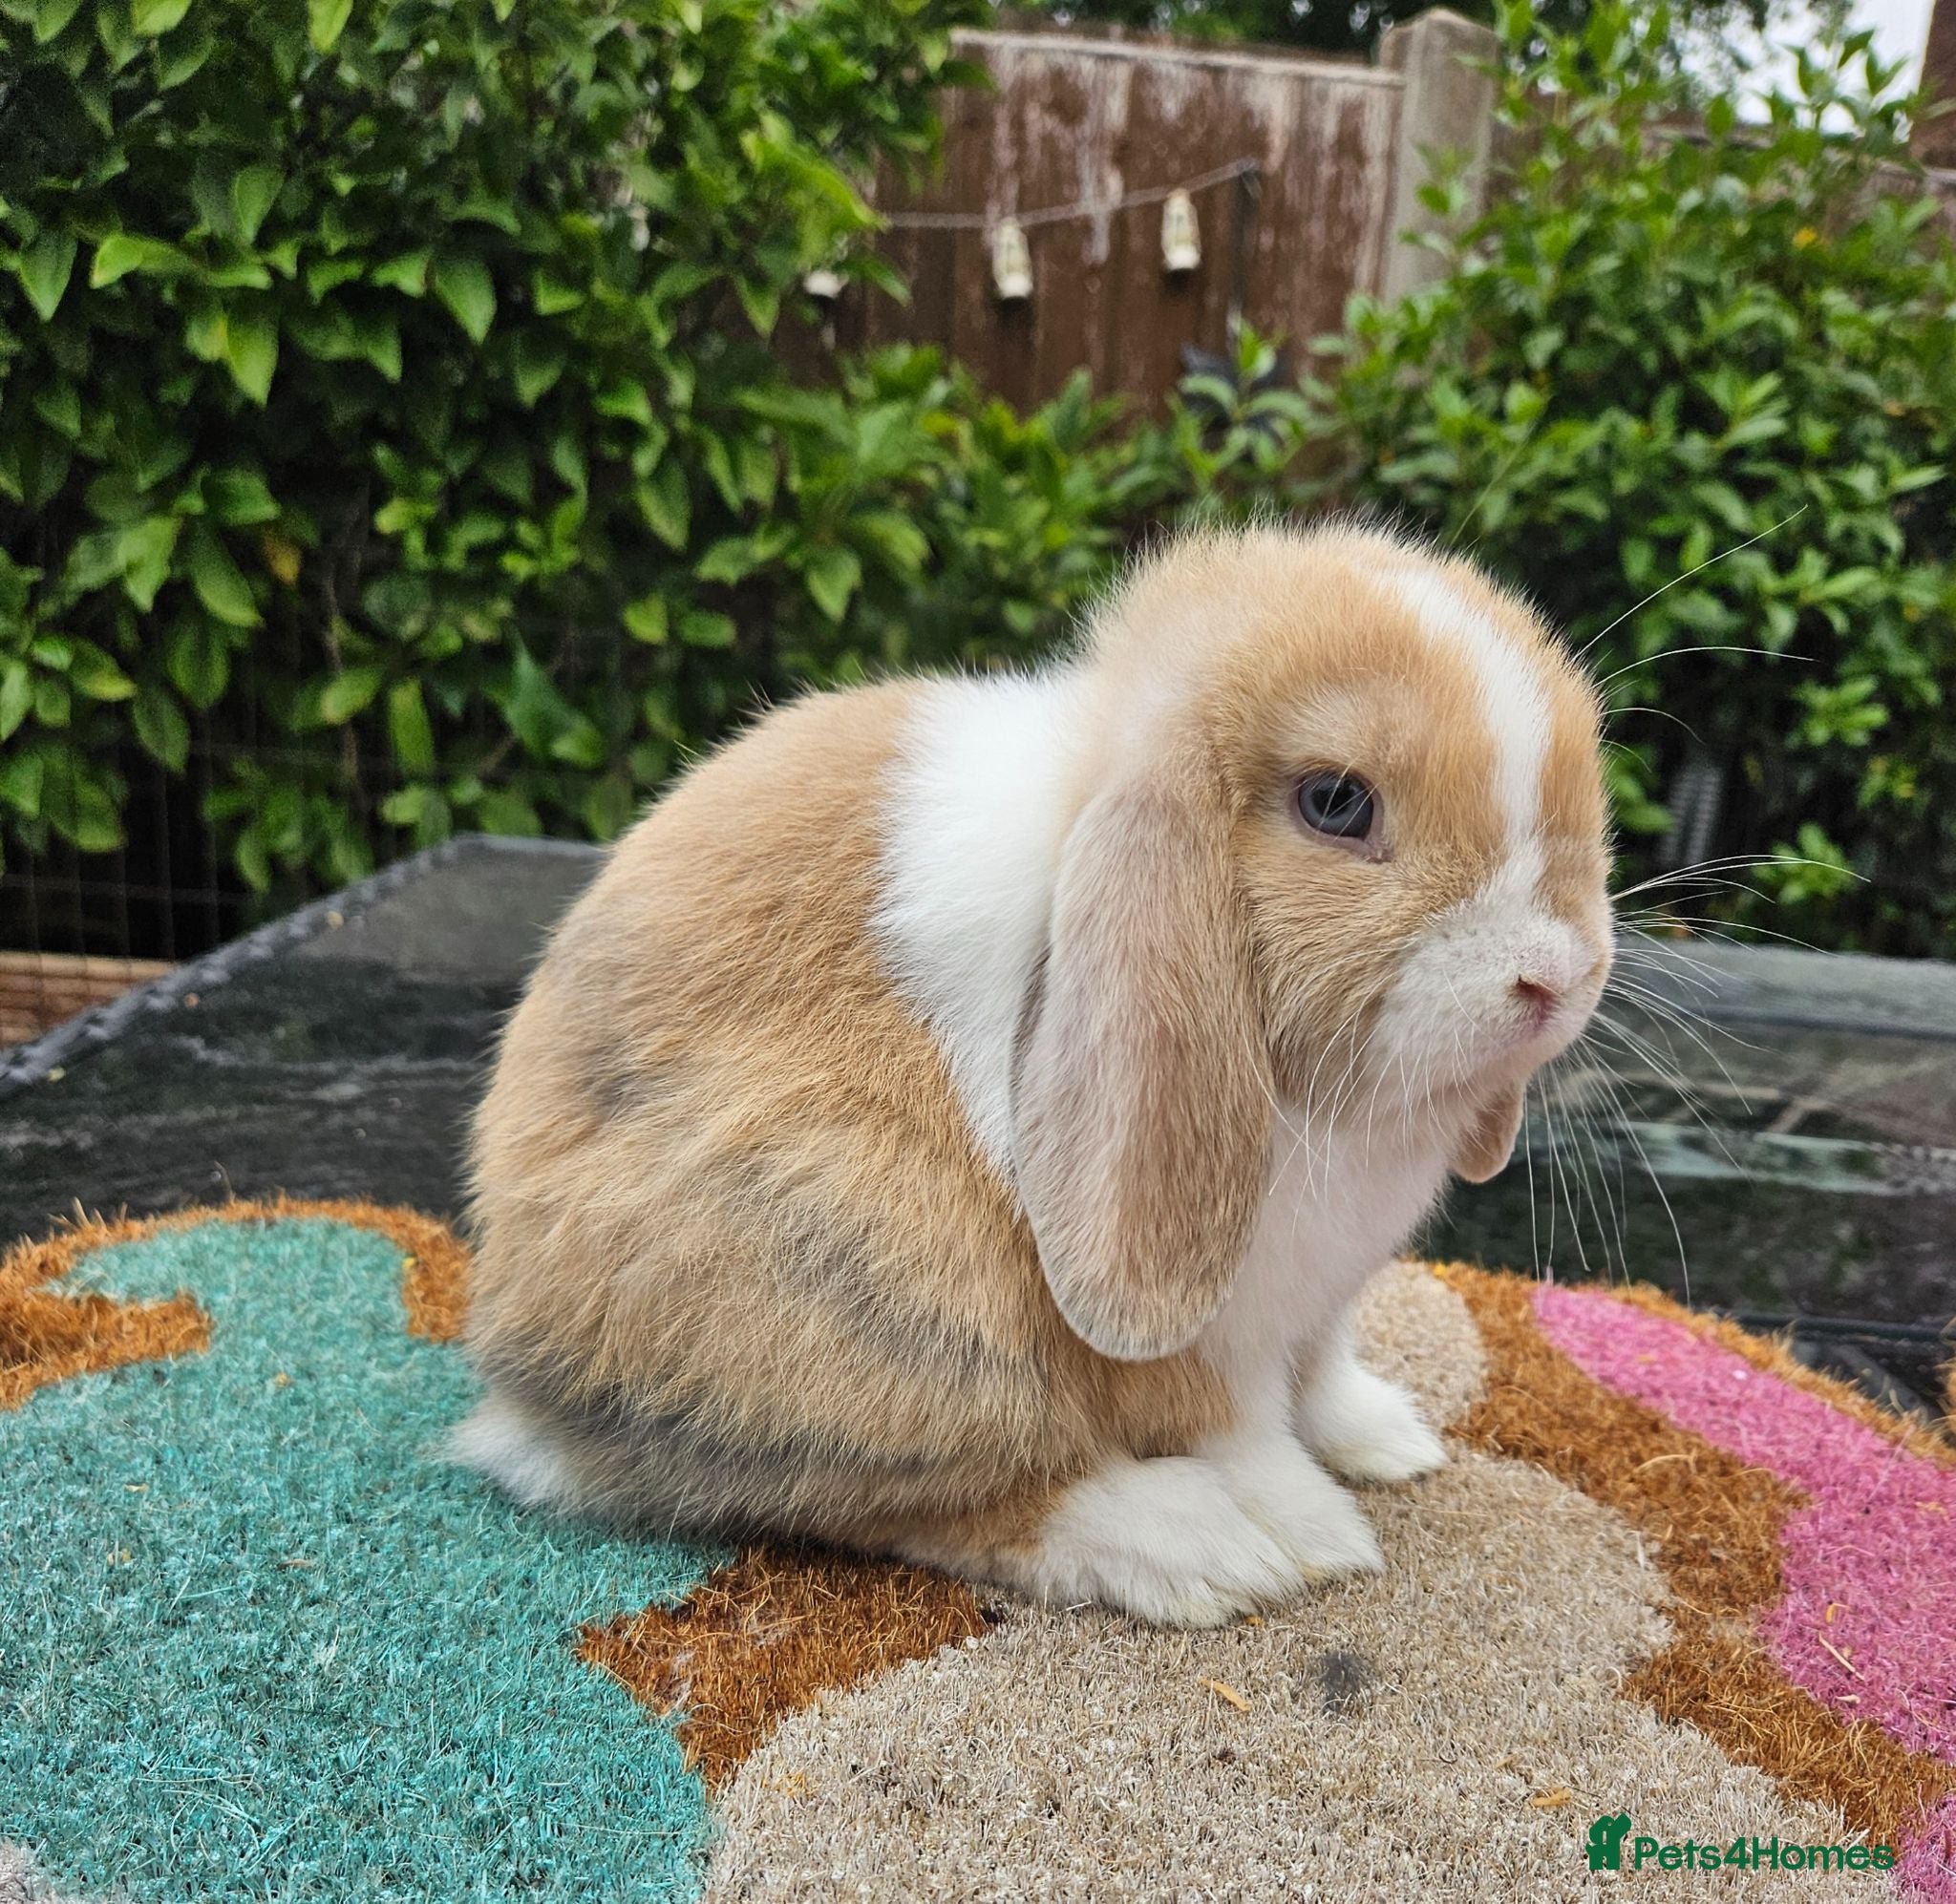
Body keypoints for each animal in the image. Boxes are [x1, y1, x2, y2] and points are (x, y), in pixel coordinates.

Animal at [454, 520, 1613, 1628]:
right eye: (1335, 802)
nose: (1553, 974)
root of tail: (518, 1373)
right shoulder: (1204, 1335)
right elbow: (1242, 1433)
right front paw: (1318, 1535)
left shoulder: (1324, 1299)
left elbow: (1323, 1374)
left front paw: (1389, 1443)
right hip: (880, 1286)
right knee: (908, 1501)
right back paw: (1197, 1548)